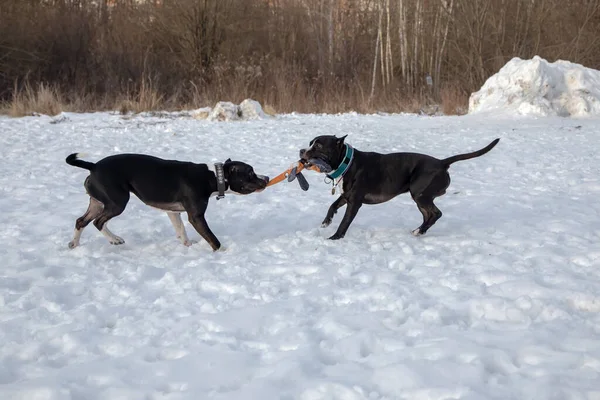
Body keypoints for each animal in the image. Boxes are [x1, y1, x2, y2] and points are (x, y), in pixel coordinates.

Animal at [66, 153, 270, 250]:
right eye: (251, 172)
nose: (267, 177)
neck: (213, 177)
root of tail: (93, 166)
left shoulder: (173, 211)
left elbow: (181, 231)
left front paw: (188, 246)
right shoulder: (196, 216)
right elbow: (213, 239)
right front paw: (223, 252)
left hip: (98, 202)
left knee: (81, 221)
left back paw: (74, 244)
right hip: (117, 202)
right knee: (98, 222)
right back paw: (114, 240)